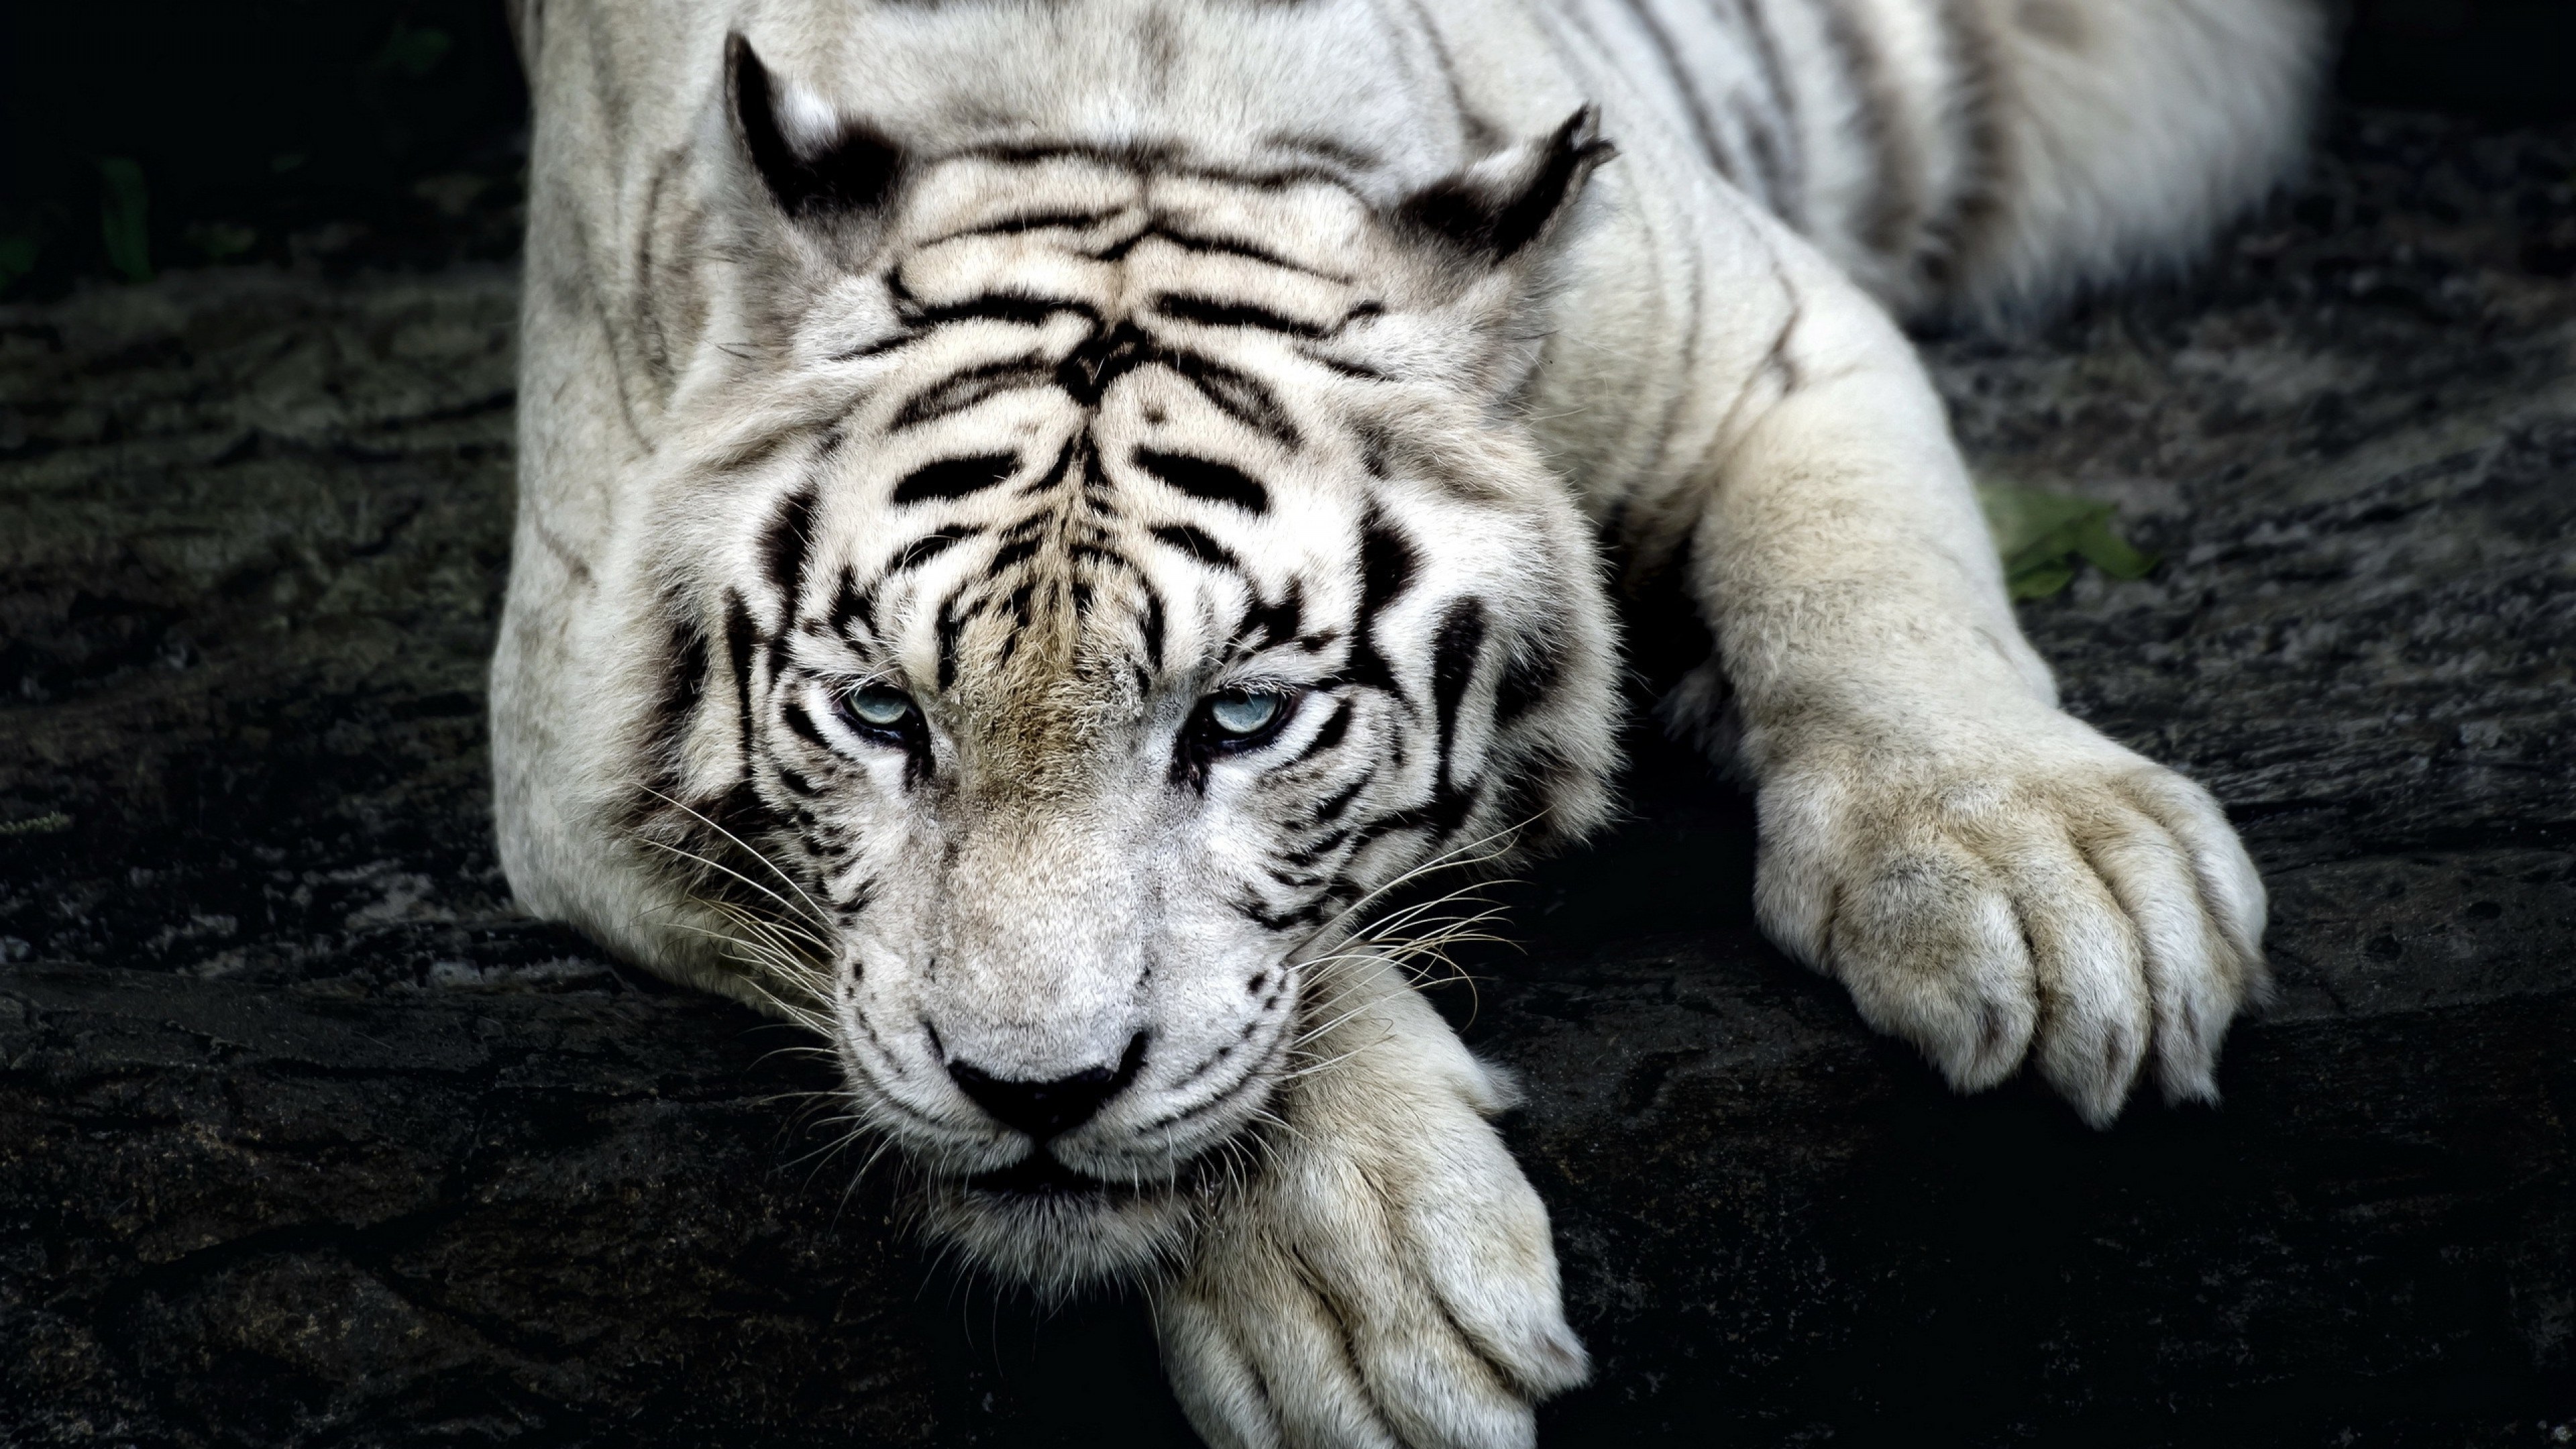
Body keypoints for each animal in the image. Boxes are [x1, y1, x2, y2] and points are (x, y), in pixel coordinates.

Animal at [489, 0, 2319, 1443]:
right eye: (881, 711)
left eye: (1240, 717)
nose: (1030, 1093)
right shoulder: (568, 732)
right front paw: (1365, 1292)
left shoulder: (1771, 337)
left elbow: (1871, 583)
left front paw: (2057, 889)